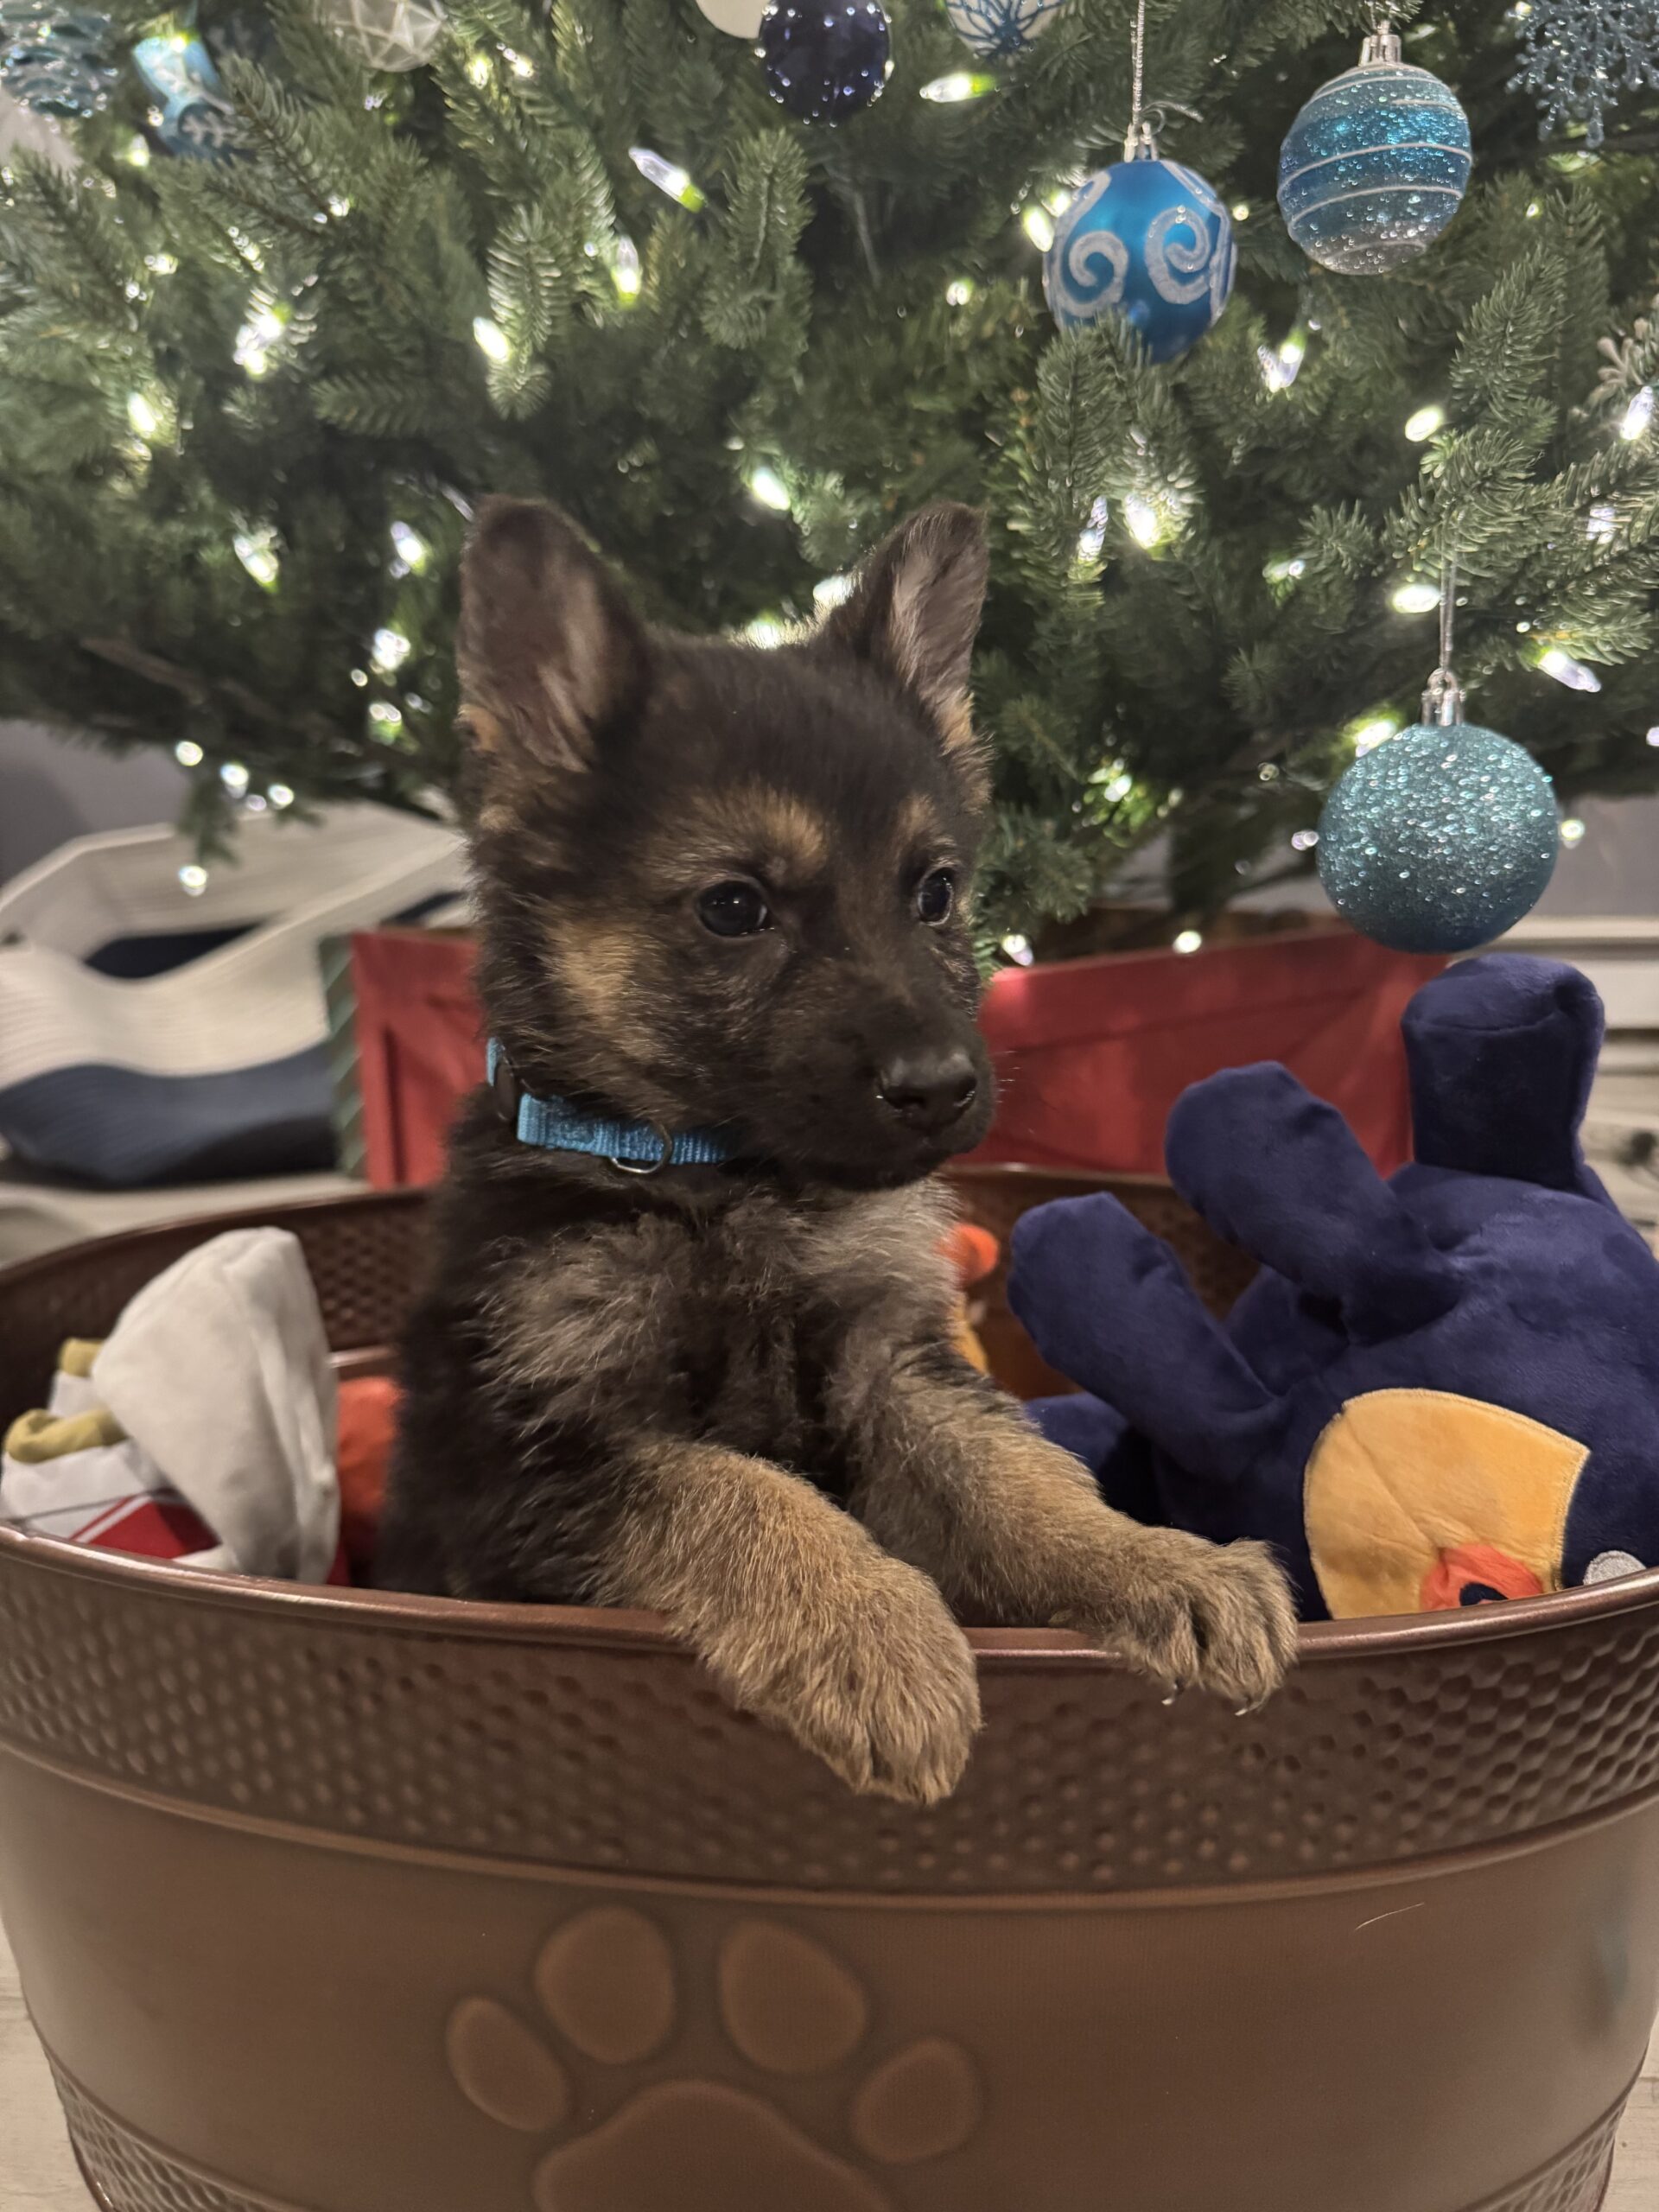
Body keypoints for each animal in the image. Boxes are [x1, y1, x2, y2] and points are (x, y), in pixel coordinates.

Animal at [376, 496, 1297, 1802]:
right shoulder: (528, 1453)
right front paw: (870, 1628)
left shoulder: (891, 1367)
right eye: (734, 908)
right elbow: (734, 1489)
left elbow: (1015, 1476)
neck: (721, 1184)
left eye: (937, 893)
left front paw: (1158, 1562)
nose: (945, 1089)